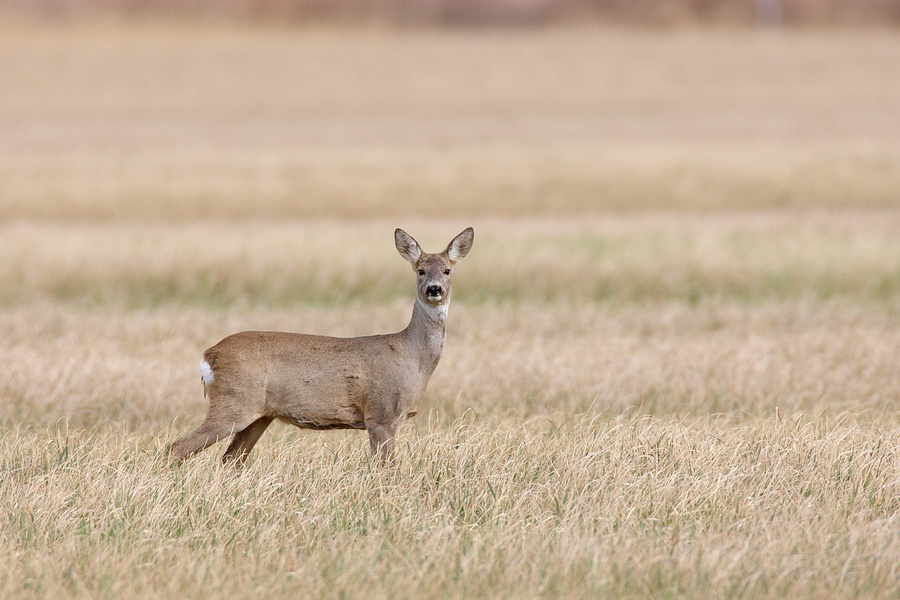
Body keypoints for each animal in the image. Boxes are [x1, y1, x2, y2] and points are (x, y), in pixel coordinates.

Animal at [171, 227, 478, 466]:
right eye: (421, 270)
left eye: (448, 270)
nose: (434, 289)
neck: (413, 358)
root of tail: (209, 355)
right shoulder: (381, 413)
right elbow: (386, 468)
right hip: (234, 401)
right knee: (177, 448)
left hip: (259, 414)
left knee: (230, 459)